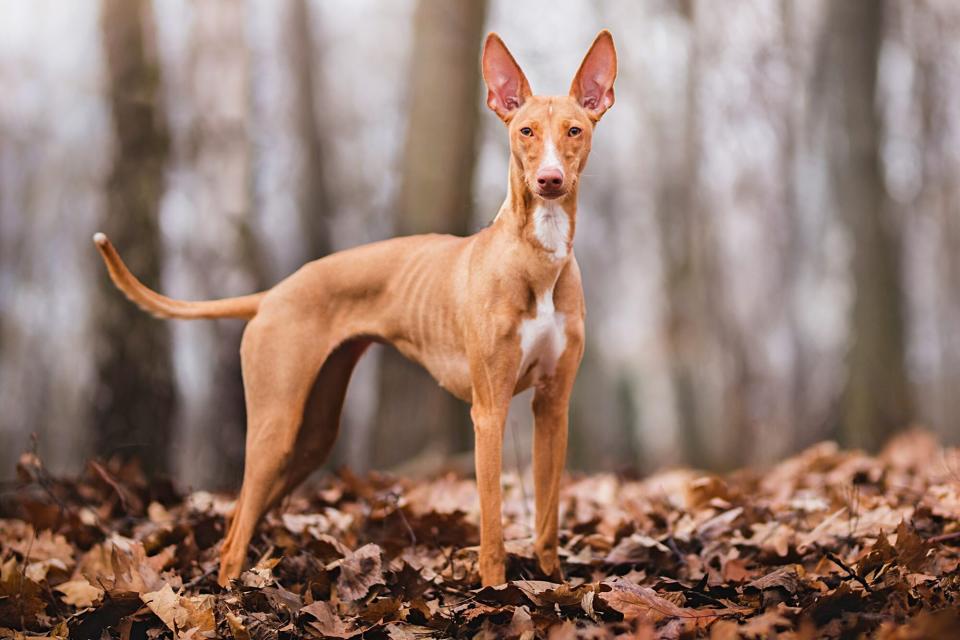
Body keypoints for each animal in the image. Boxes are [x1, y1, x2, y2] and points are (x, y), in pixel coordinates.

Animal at [94, 31, 620, 592]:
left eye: (574, 130)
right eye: (525, 131)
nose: (550, 180)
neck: (536, 258)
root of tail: (274, 293)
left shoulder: (553, 406)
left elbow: (547, 521)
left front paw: (552, 585)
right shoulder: (489, 411)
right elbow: (494, 527)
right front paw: (497, 592)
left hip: (313, 436)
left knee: (238, 522)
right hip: (276, 427)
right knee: (234, 536)